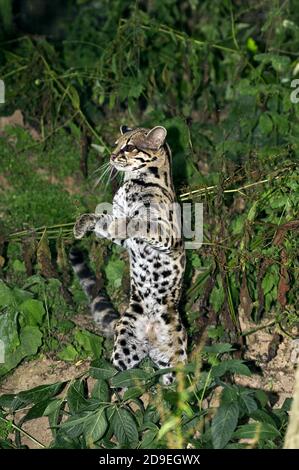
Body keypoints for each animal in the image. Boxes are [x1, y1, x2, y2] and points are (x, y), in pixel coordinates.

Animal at [71, 126, 188, 384]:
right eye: (116, 144)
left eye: (130, 147)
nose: (112, 156)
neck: (132, 181)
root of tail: (151, 337)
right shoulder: (121, 231)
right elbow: (103, 220)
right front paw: (82, 223)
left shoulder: (167, 233)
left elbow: (140, 222)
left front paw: (126, 222)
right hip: (125, 344)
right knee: (117, 379)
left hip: (176, 356)